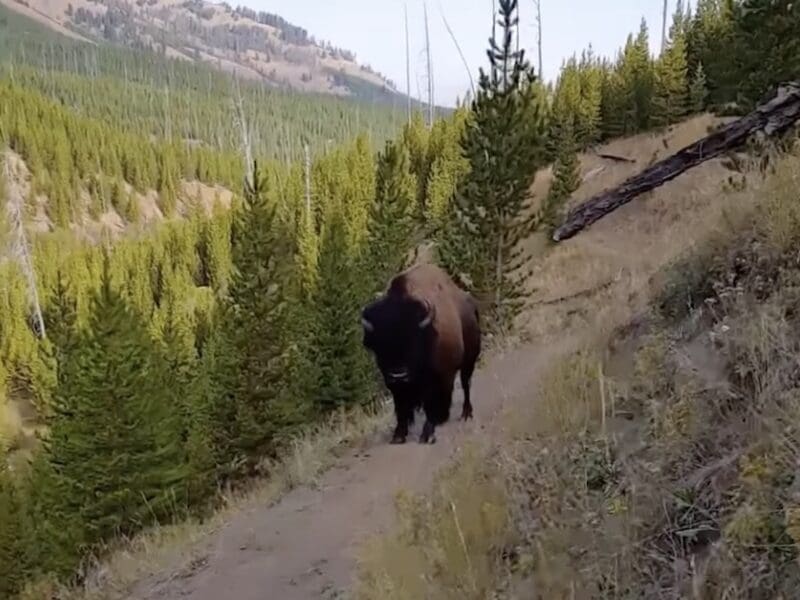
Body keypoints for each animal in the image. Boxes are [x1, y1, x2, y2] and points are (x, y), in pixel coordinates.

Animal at [360, 263, 481, 444]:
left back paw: (466, 414)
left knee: (466, 385)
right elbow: (401, 408)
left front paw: (427, 435)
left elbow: (431, 404)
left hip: (469, 362)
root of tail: (470, 304)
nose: (398, 375)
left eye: (414, 344)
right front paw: (398, 436)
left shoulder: (436, 380)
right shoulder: (395, 387)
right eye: (380, 348)